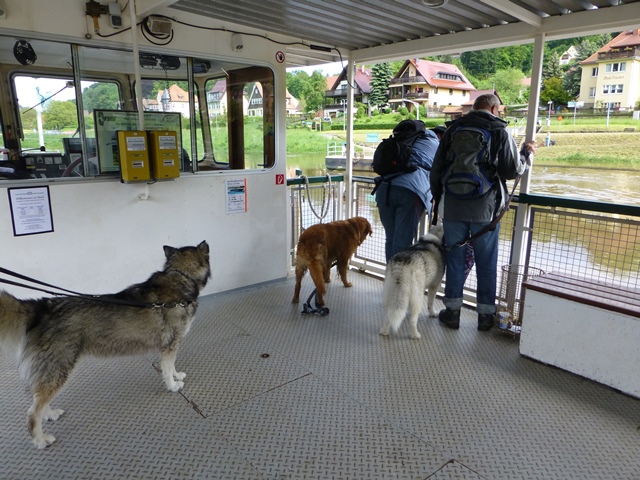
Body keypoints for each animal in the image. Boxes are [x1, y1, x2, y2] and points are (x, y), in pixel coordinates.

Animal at [0, 242, 211, 448]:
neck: (180, 275)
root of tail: (42, 307)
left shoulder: (170, 345)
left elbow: (171, 366)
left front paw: (177, 376)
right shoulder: (170, 344)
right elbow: (167, 369)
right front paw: (173, 385)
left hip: (51, 373)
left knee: (39, 401)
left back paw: (50, 414)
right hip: (58, 370)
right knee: (32, 413)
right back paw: (40, 440)